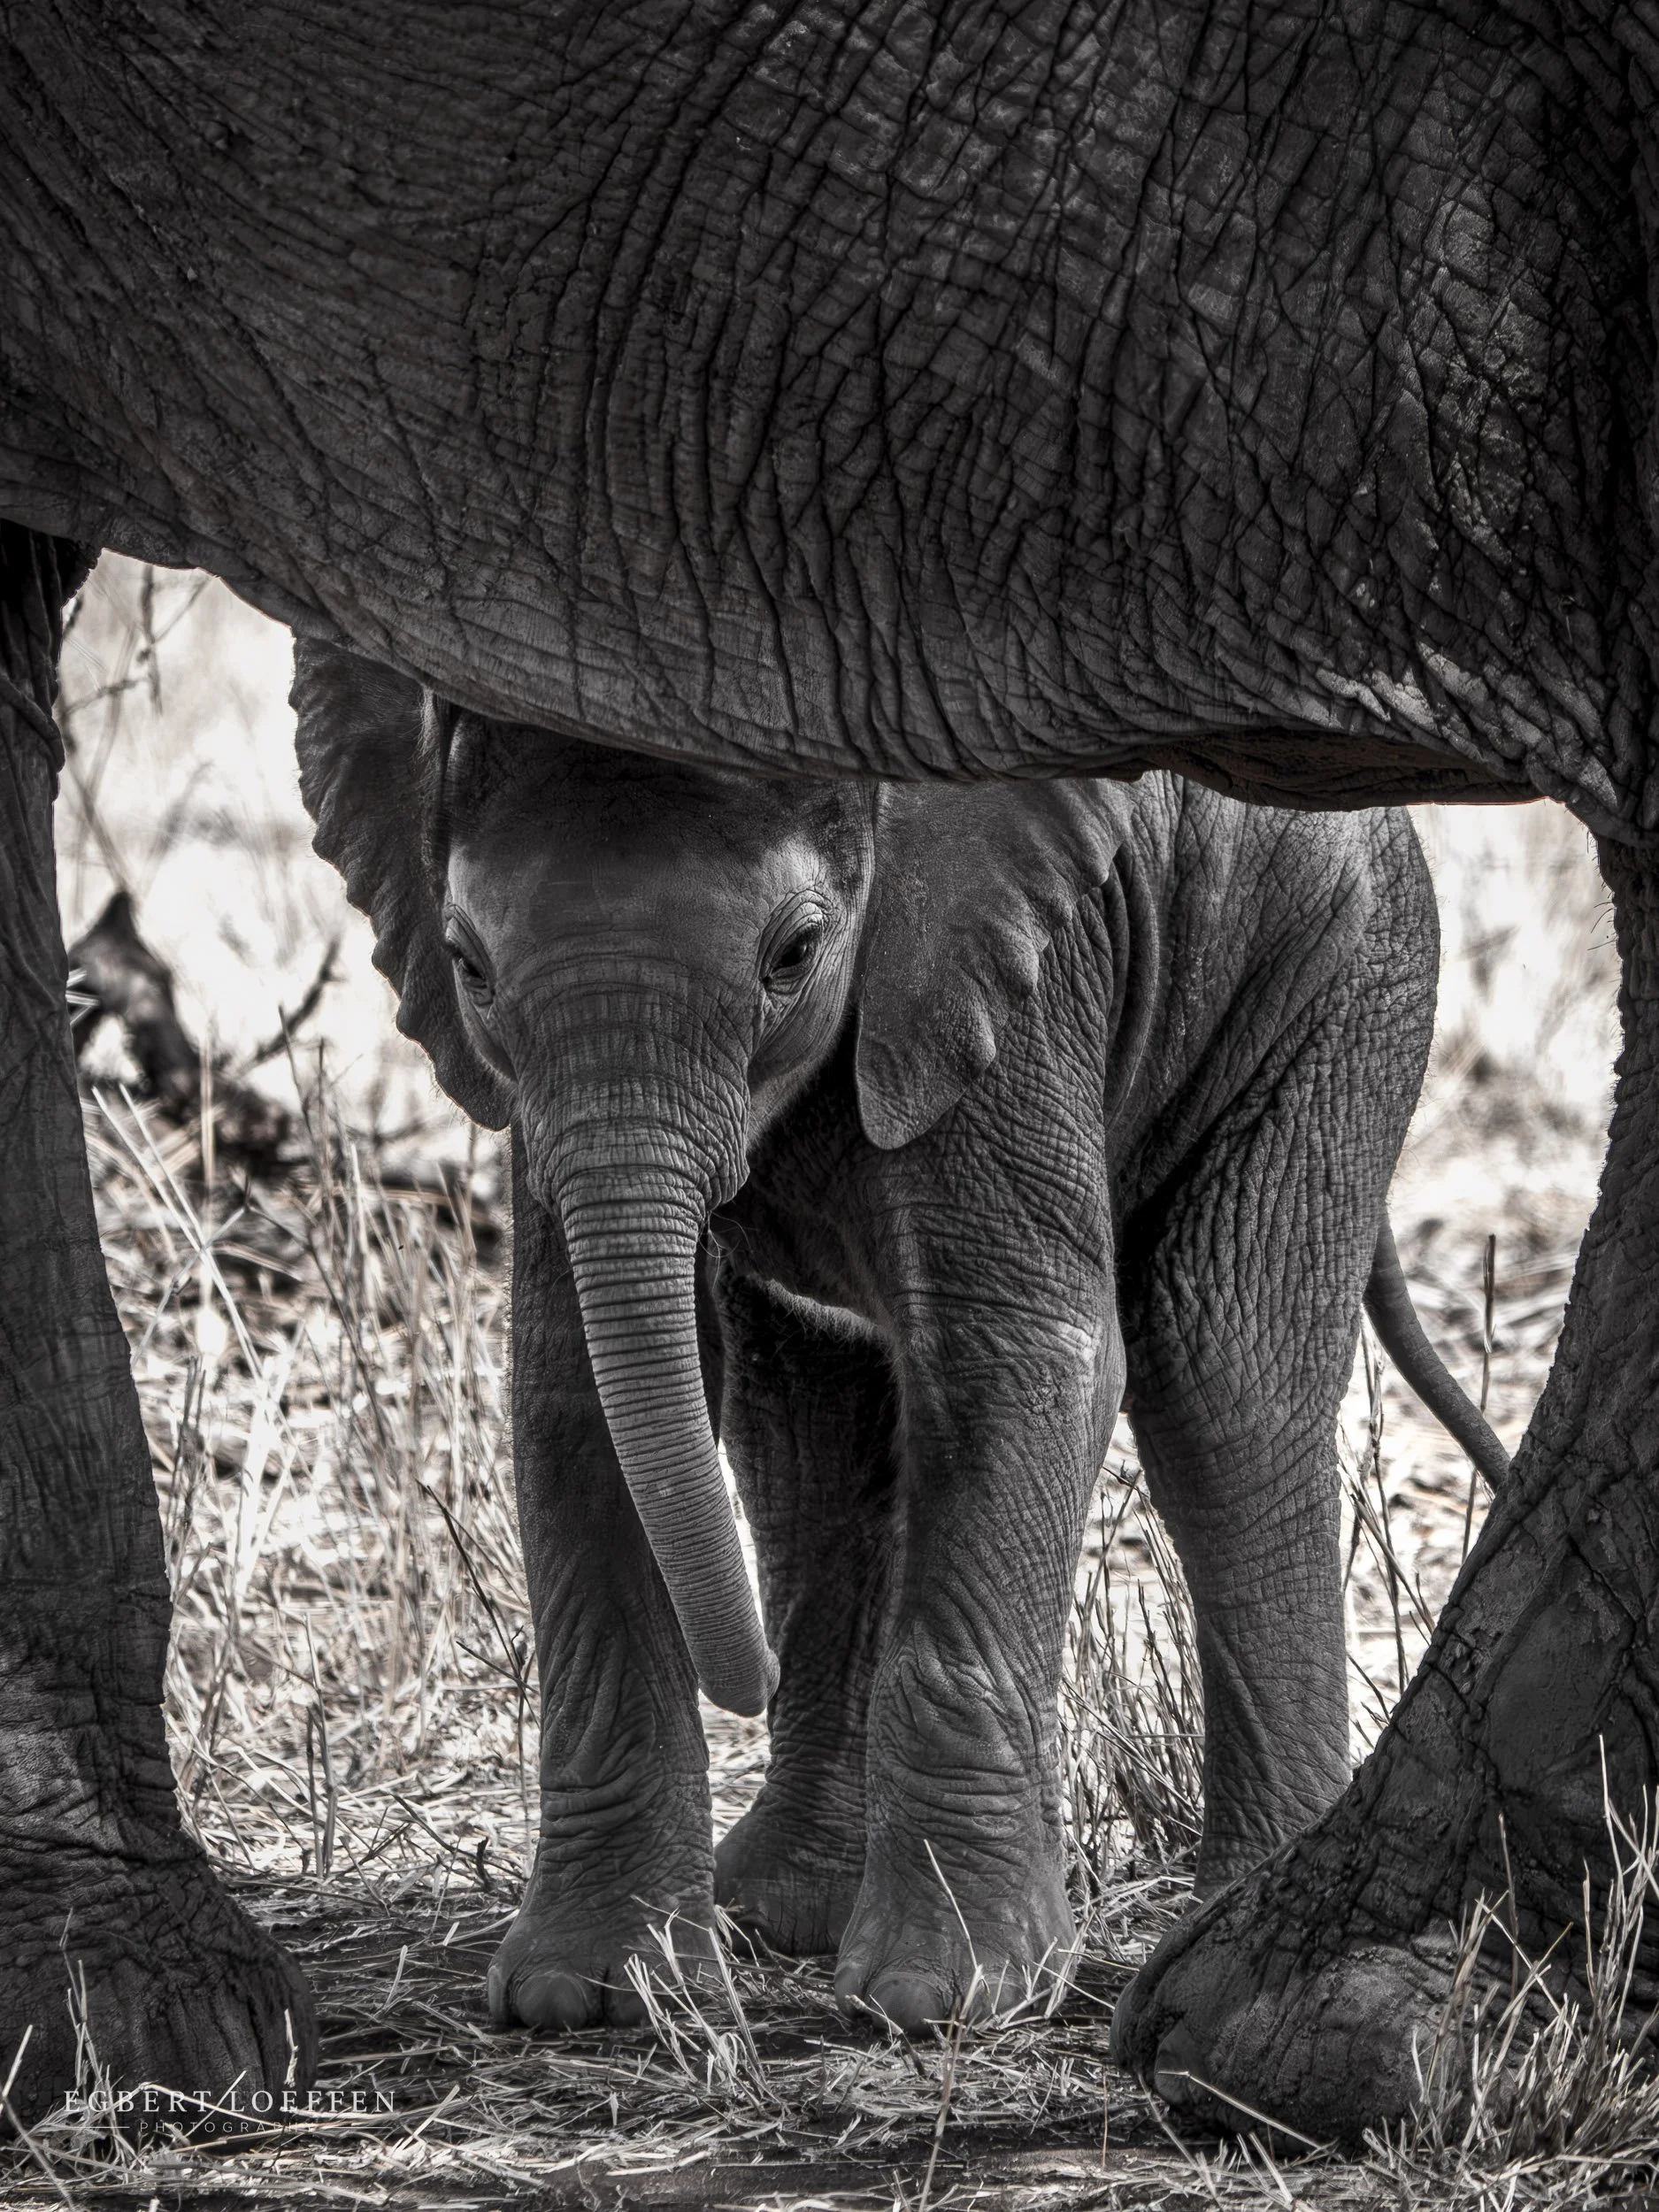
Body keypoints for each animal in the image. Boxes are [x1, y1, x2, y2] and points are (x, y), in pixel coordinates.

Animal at [294, 638, 1510, 2034]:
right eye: (467, 965)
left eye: (796, 952)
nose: (745, 1679)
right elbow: (576, 1388)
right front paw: (593, 1999)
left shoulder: (1010, 974)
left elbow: (1019, 1355)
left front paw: (941, 2000)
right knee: (815, 1423)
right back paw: (782, 1912)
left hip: (1341, 976)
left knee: (1219, 1378)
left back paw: (1234, 1918)